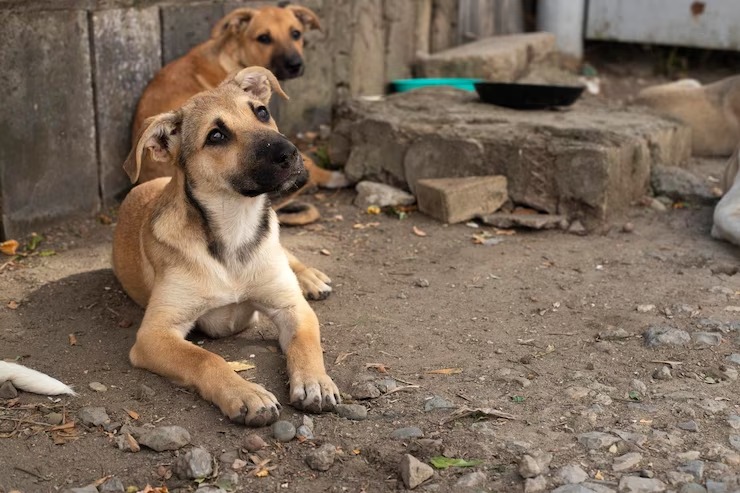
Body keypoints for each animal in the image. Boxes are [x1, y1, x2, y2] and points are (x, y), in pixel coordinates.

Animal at [112, 66, 342, 426]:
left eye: (261, 112)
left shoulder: (292, 307)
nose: (291, 153)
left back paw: (310, 277)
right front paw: (245, 393)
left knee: (287, 254)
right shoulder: (154, 334)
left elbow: (306, 343)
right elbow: (205, 358)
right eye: (216, 136)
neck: (235, 227)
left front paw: (315, 381)